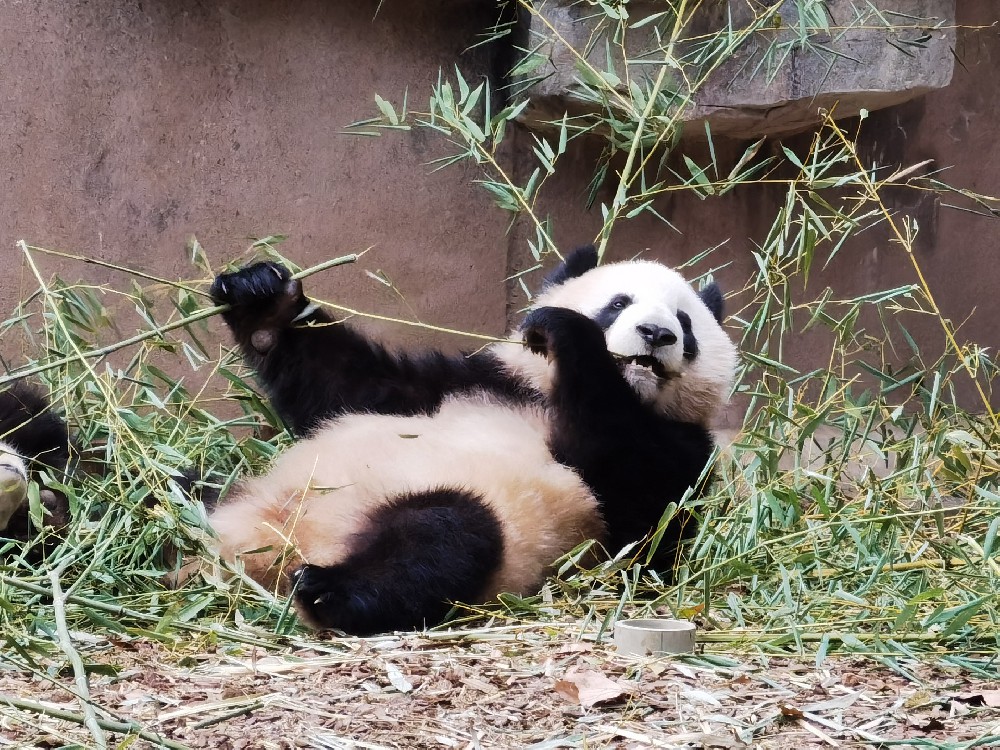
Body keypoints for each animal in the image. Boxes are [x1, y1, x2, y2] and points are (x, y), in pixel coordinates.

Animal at [199, 250, 740, 636]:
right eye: (618, 303)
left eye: (685, 323)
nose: (656, 333)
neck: (542, 394)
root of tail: (274, 547)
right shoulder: (463, 382)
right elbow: (343, 387)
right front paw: (262, 299)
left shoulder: (681, 452)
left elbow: (643, 520)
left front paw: (567, 331)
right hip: (240, 491)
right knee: (196, 486)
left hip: (484, 516)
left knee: (442, 538)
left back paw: (329, 590)